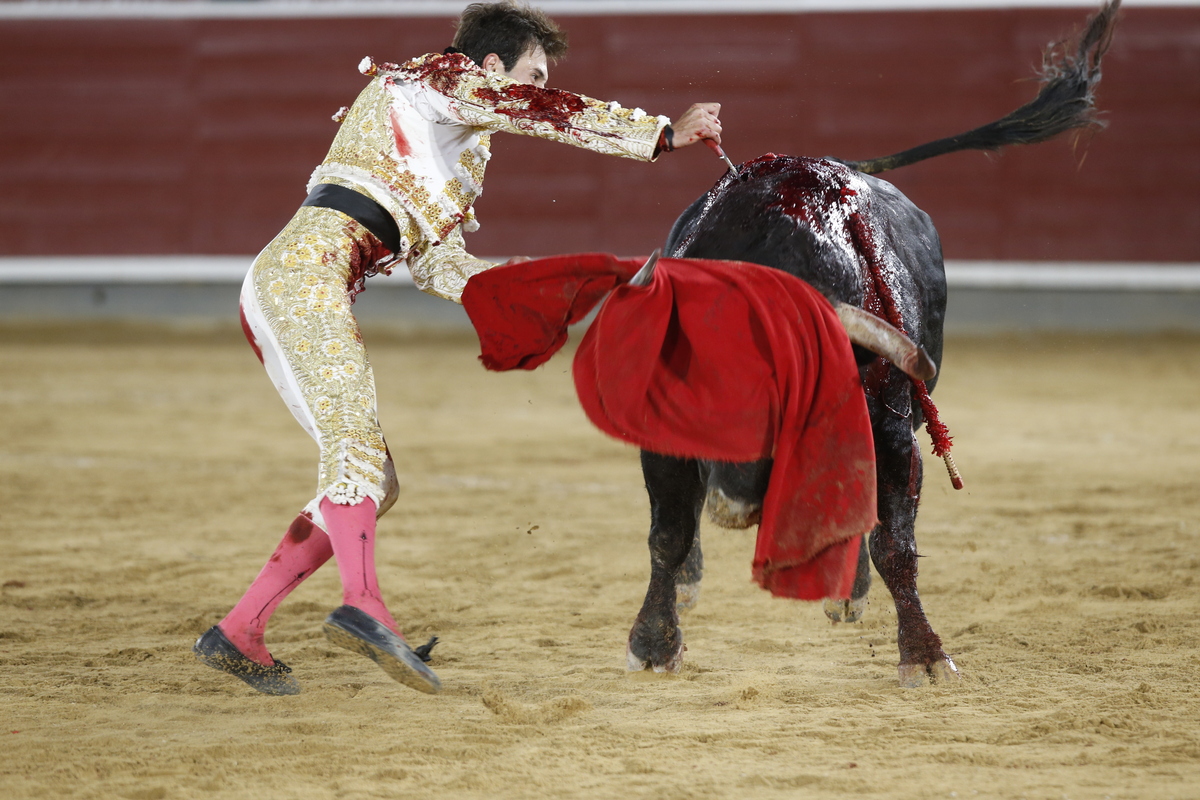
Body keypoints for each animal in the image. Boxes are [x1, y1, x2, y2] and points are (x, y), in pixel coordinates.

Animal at [624, 0, 1118, 690]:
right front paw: (654, 643)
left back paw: (847, 592)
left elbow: (894, 544)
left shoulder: (889, 433)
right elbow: (667, 534)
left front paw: (925, 653)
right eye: (703, 389)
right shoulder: (663, 431)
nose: (733, 505)